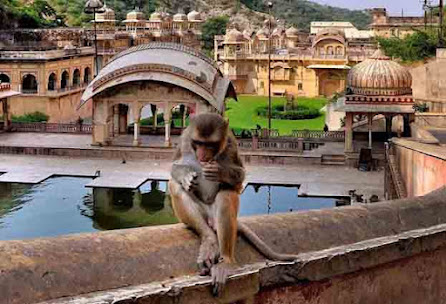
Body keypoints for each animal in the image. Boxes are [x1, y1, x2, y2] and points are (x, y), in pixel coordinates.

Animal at [169, 113, 298, 296]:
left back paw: (226, 262)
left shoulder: (231, 144)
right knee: (175, 186)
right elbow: (174, 167)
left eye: (210, 144)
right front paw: (186, 175)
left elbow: (239, 176)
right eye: (199, 143)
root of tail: (210, 220)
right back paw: (209, 240)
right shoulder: (185, 140)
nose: (202, 153)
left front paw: (219, 171)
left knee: (226, 194)